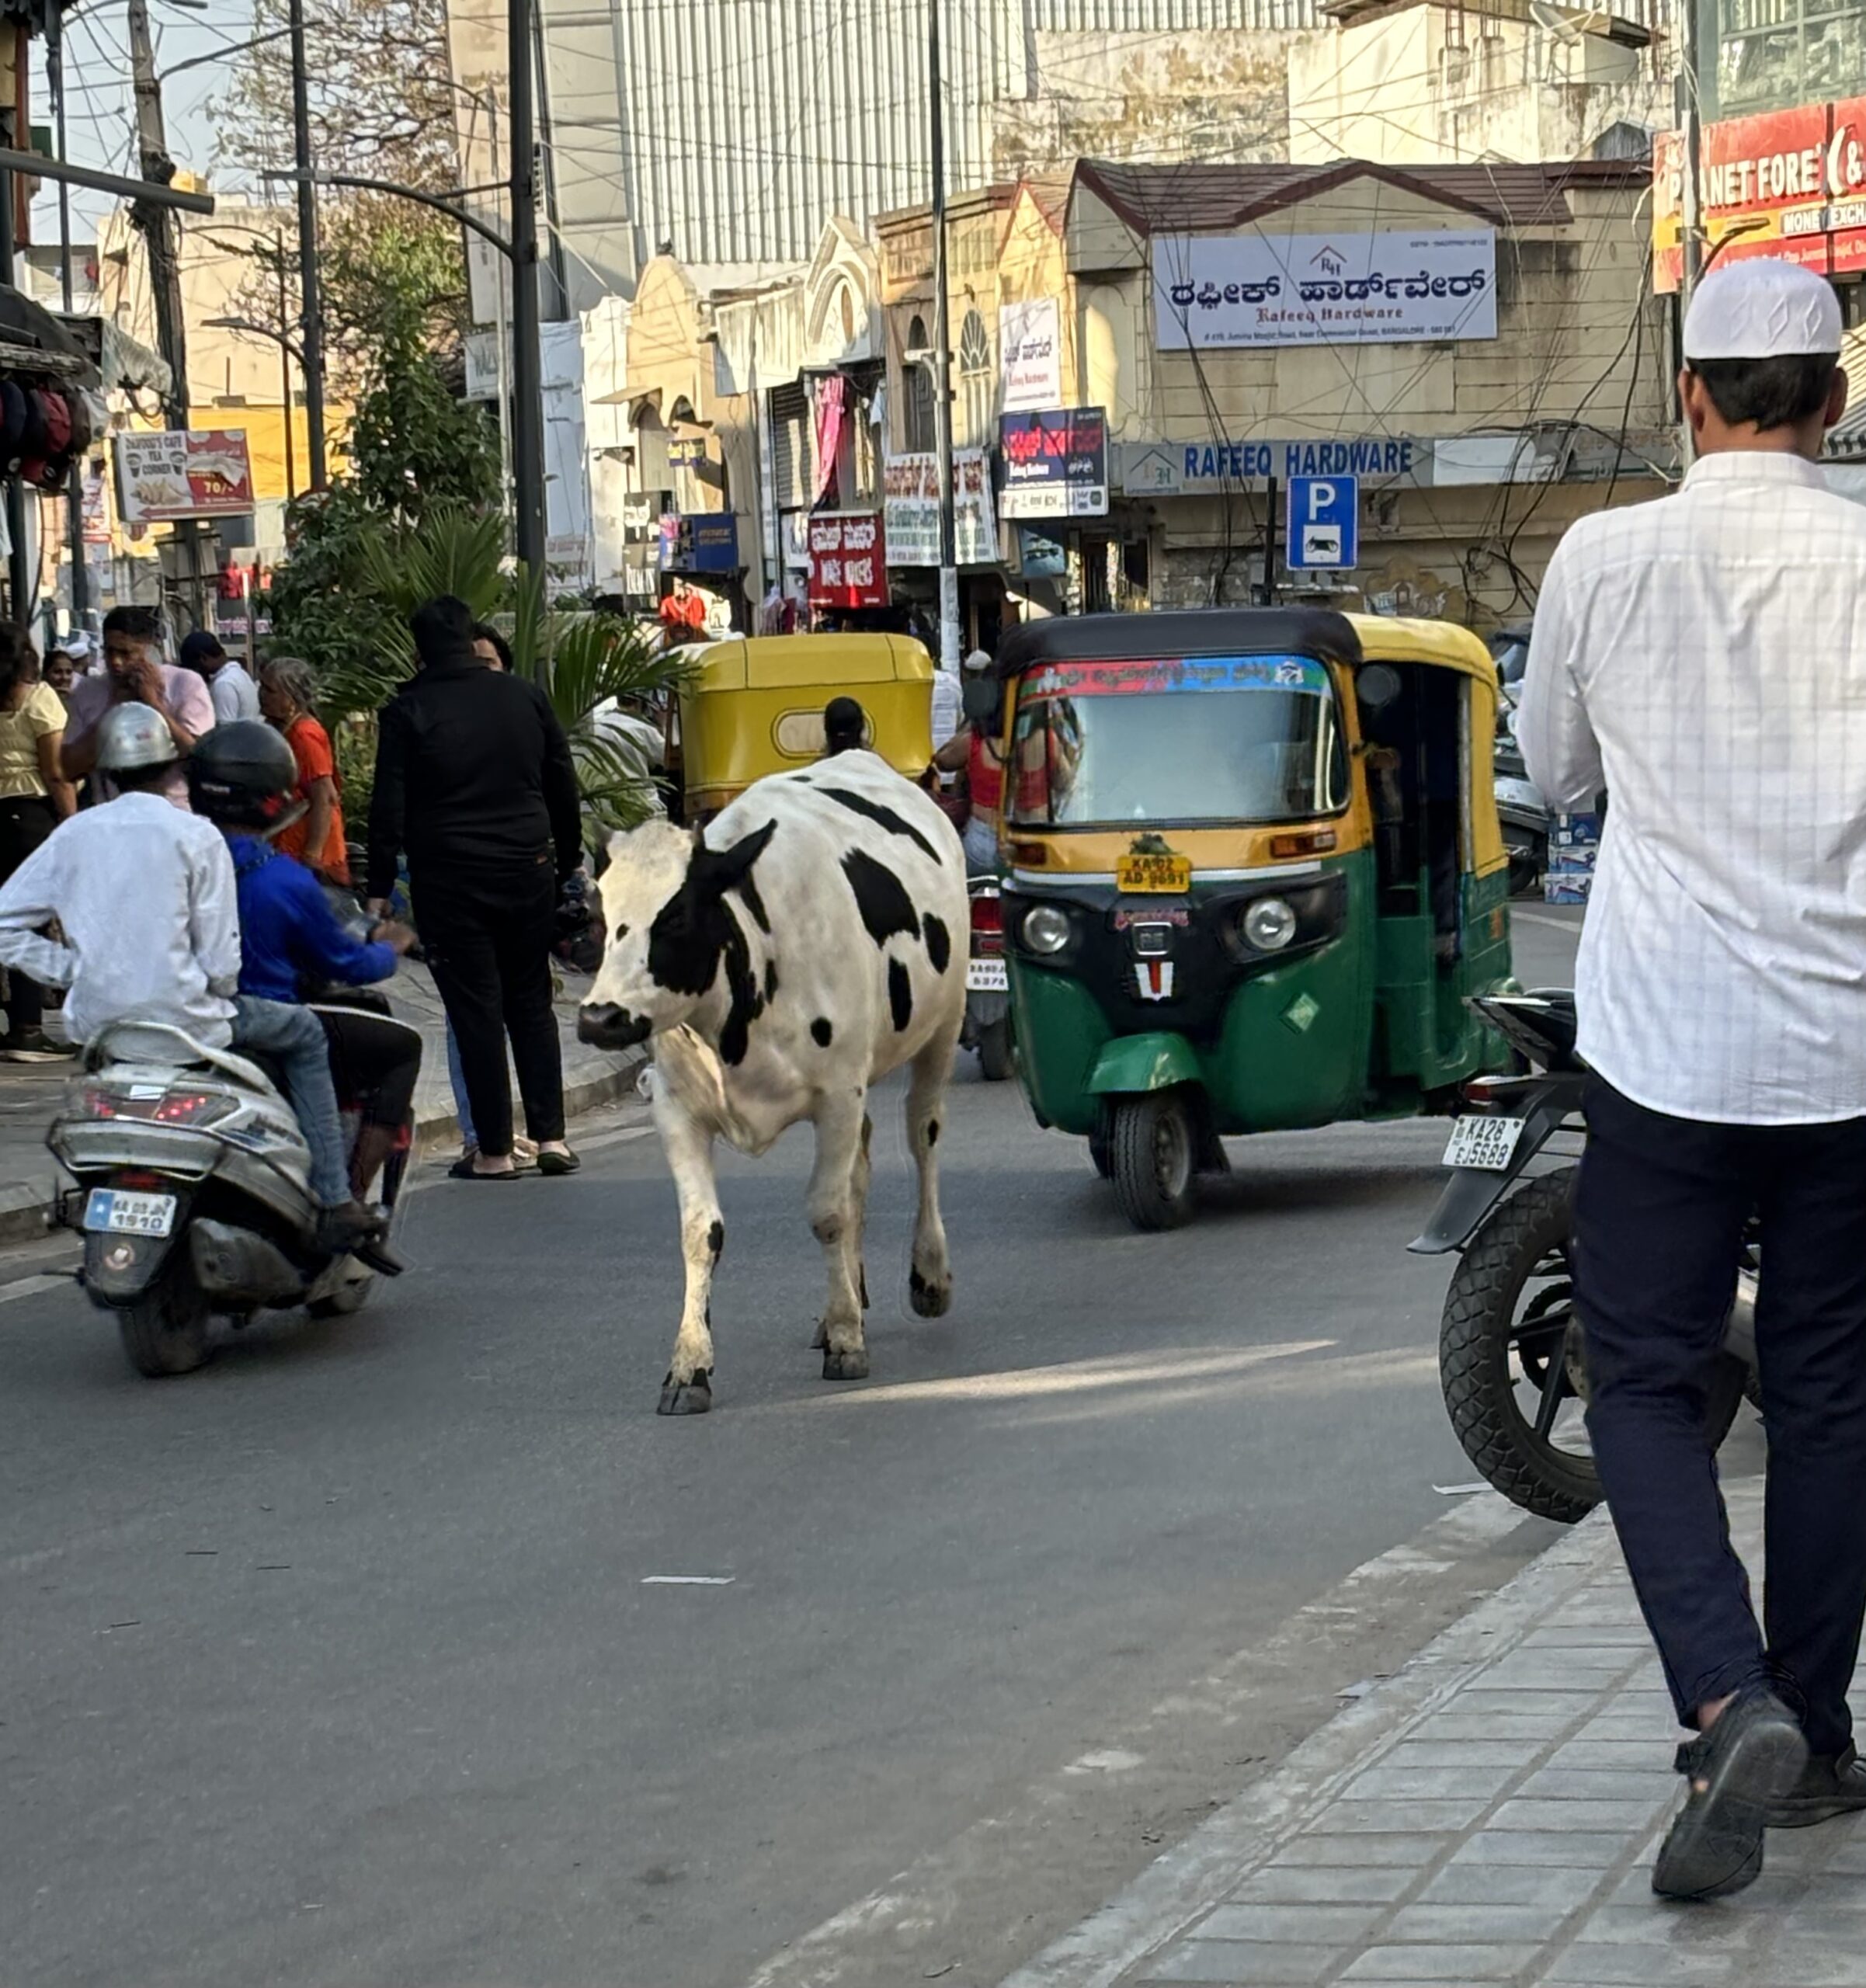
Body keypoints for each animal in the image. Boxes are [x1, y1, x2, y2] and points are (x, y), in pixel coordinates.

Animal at [580, 747, 961, 1415]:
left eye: (675, 917)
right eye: (599, 920)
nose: (600, 1017)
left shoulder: (837, 1095)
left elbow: (828, 1213)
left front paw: (846, 1343)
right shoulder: (676, 1108)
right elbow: (700, 1233)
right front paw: (689, 1365)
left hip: (944, 1024)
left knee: (923, 1138)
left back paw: (927, 1277)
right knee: (863, 1168)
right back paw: (845, 1301)